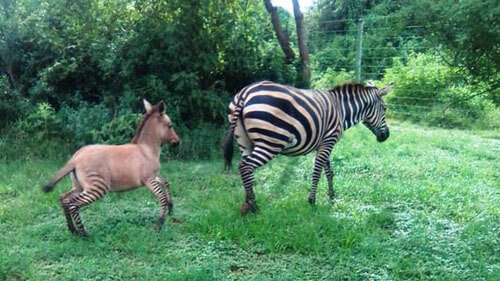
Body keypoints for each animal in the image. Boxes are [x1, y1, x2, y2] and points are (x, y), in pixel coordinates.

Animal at [42, 99, 180, 235]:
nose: (178, 142)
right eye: (170, 126)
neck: (146, 149)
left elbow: (165, 182)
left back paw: (72, 230)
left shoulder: (153, 177)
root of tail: (75, 158)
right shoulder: (148, 179)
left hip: (79, 186)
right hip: (98, 187)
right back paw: (83, 235)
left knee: (64, 198)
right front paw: (159, 225)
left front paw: (171, 208)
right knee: (73, 204)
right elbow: (161, 197)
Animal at [225, 80, 392, 213]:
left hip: (245, 142)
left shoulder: (324, 143)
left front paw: (331, 197)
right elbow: (317, 171)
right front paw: (312, 201)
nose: (386, 136)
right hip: (270, 142)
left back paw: (246, 204)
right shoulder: (328, 141)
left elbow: (329, 171)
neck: (341, 110)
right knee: (245, 166)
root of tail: (246, 92)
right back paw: (254, 206)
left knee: (247, 170)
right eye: (384, 109)